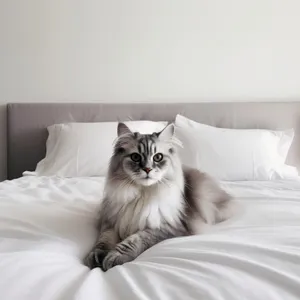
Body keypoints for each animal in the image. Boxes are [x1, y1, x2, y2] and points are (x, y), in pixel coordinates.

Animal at [84, 122, 234, 272]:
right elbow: (103, 241)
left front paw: (115, 257)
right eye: (135, 157)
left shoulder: (167, 228)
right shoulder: (111, 222)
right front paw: (96, 257)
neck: (142, 195)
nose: (147, 169)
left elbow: (134, 240)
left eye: (158, 157)